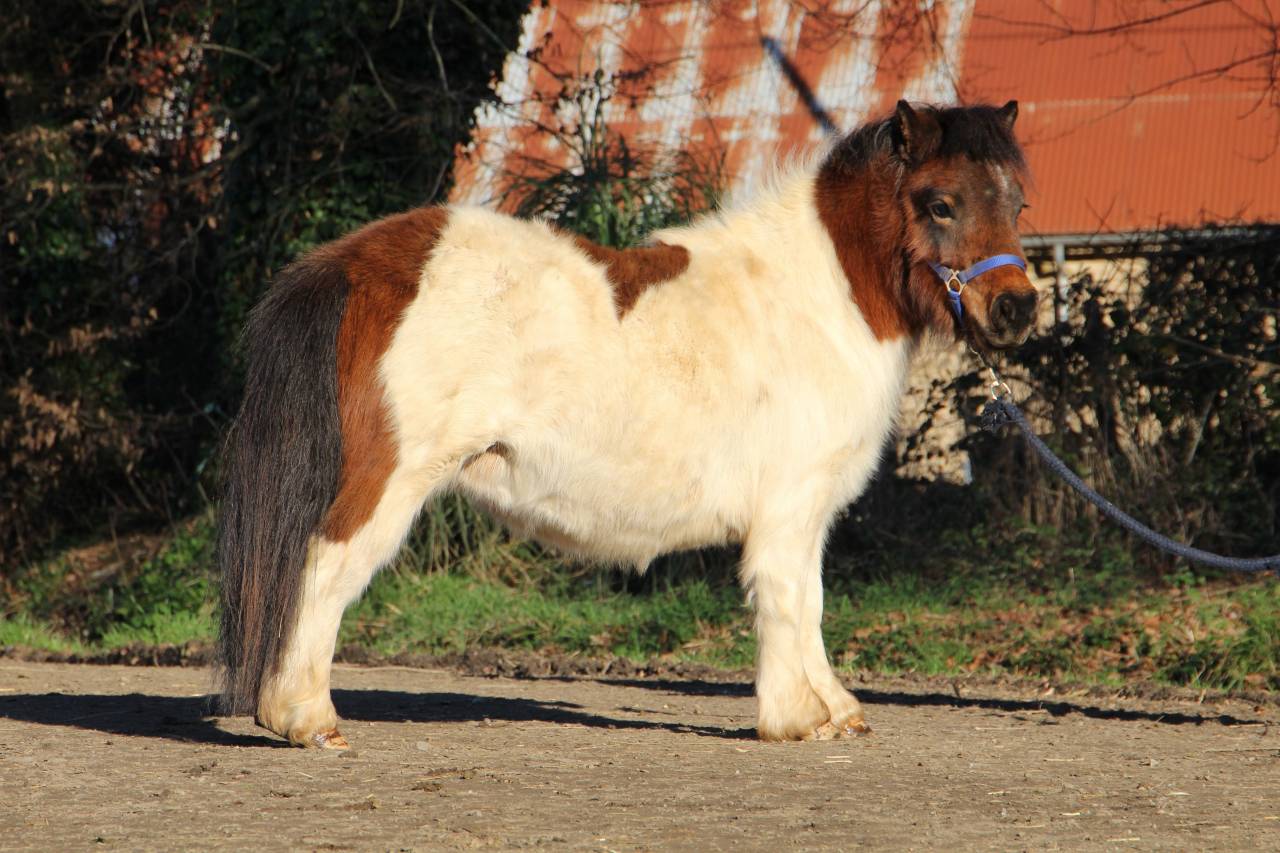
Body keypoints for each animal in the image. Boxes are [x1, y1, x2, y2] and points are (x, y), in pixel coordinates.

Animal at [217, 100, 1039, 749]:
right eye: (941, 203)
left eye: (1018, 204)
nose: (1016, 308)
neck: (821, 294)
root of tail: (355, 264)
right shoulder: (790, 505)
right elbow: (786, 600)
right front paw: (796, 716)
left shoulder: (807, 513)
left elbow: (810, 603)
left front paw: (833, 708)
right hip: (386, 482)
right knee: (320, 570)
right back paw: (304, 716)